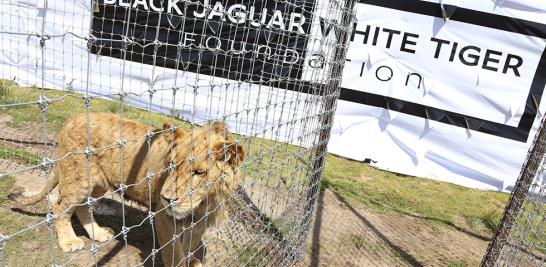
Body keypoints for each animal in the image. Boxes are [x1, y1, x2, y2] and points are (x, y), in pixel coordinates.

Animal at [14, 112, 242, 266]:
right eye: (171, 166)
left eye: (198, 172)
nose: (167, 198)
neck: (205, 201)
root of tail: (72, 119)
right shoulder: (163, 216)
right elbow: (174, 252)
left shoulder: (201, 219)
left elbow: (189, 245)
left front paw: (191, 260)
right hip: (78, 180)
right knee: (59, 206)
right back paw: (69, 242)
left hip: (98, 184)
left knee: (82, 207)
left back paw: (98, 233)